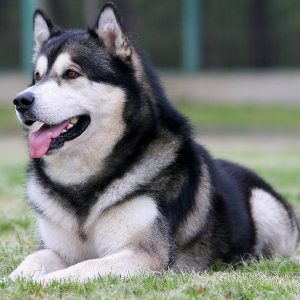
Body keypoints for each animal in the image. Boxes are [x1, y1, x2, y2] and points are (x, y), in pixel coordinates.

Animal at [8, 2, 298, 284]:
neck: (82, 182)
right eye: (37, 77)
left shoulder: (145, 254)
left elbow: (81, 267)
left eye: (70, 73)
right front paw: (15, 280)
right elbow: (32, 260)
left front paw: (45, 282)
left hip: (265, 207)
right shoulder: (55, 248)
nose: (21, 100)